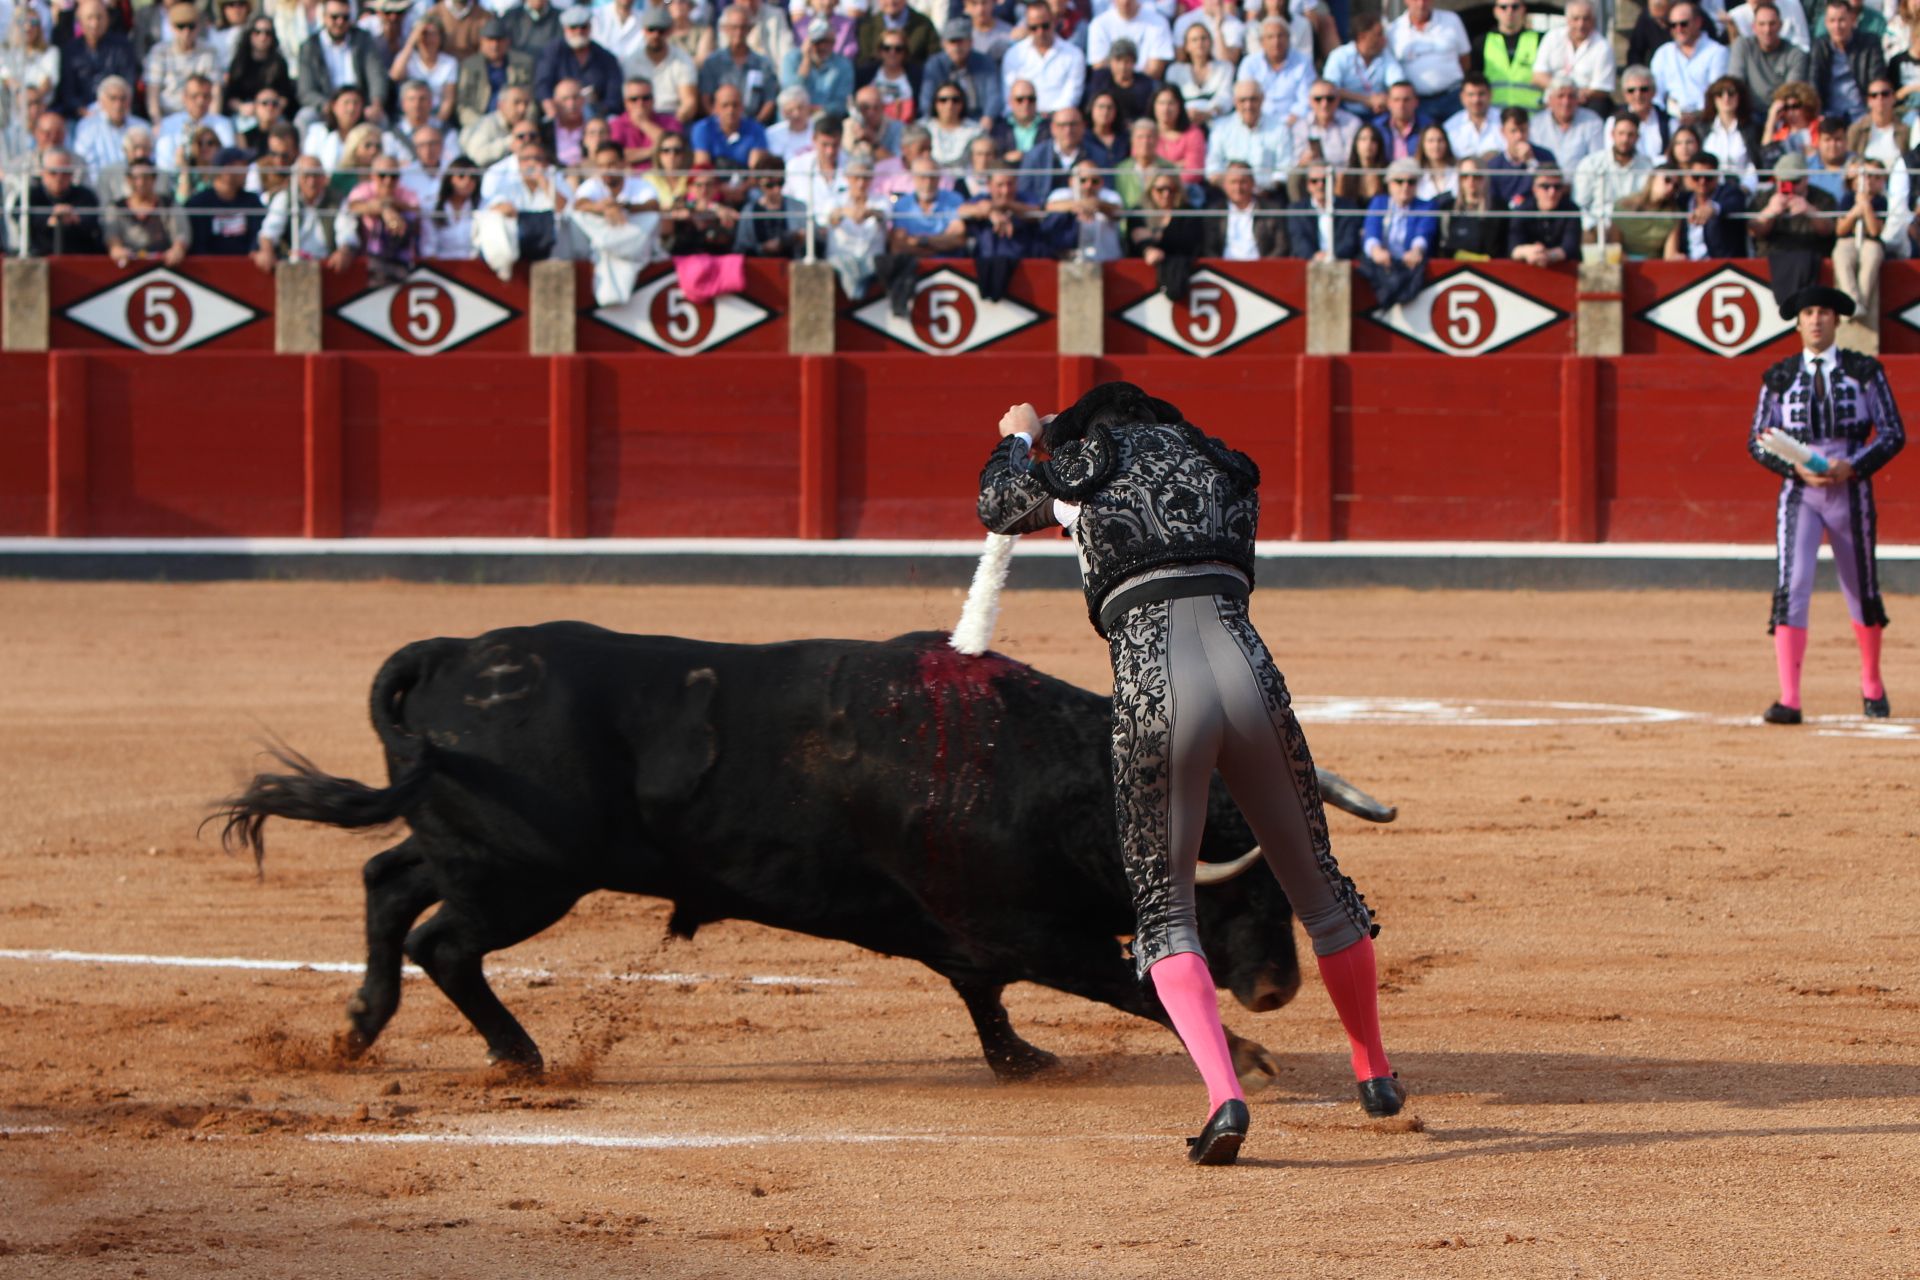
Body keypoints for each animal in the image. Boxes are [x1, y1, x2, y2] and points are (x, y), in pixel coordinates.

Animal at [214, 625, 1382, 1090]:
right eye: (1238, 885)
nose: (1277, 988)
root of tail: (456, 654)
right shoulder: (1024, 927)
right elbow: (1117, 982)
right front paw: (1255, 1056)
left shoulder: (972, 932)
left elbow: (981, 994)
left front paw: (1019, 1060)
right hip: (523, 875)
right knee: (446, 942)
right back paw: (520, 1055)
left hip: (471, 845)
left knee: (388, 883)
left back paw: (359, 1024)